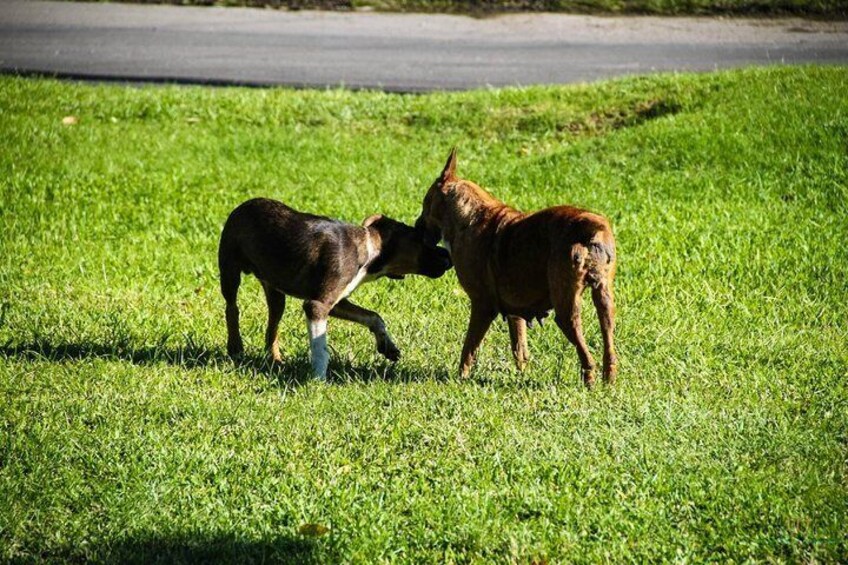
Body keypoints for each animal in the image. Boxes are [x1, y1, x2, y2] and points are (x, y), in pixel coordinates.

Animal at [222, 198, 454, 378]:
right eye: (423, 240)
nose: (448, 254)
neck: (369, 252)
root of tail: (244, 205)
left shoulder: (337, 304)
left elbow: (374, 317)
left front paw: (388, 347)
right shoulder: (317, 306)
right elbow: (320, 349)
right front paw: (317, 379)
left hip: (275, 291)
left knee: (272, 326)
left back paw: (275, 359)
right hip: (230, 269)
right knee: (232, 308)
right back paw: (235, 346)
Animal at [416, 149, 620, 388]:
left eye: (425, 203)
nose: (416, 226)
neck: (467, 216)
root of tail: (591, 228)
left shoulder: (482, 306)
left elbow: (469, 347)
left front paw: (460, 377)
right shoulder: (516, 312)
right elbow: (519, 348)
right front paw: (522, 373)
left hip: (565, 308)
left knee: (583, 350)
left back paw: (589, 379)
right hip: (605, 299)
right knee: (608, 340)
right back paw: (609, 378)